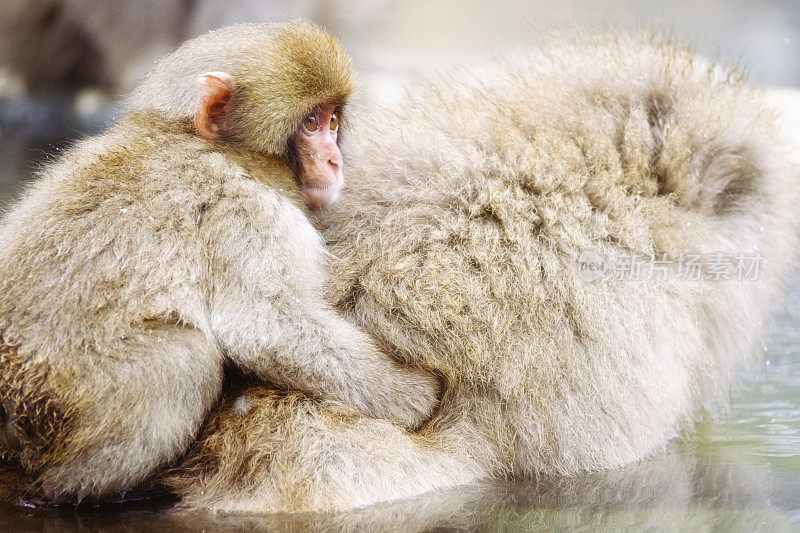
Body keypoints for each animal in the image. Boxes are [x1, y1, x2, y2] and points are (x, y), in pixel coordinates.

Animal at [0, 21, 438, 502]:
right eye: (311, 123)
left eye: (333, 121)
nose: (334, 160)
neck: (206, 144)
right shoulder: (247, 210)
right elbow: (268, 328)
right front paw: (410, 394)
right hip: (62, 414)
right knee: (190, 359)